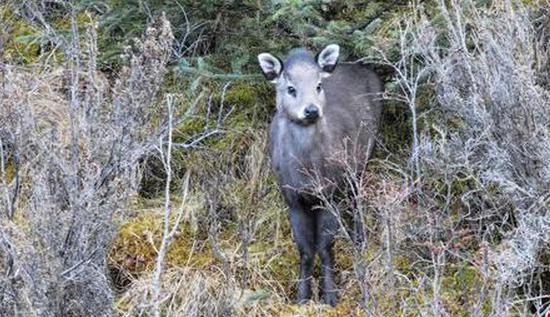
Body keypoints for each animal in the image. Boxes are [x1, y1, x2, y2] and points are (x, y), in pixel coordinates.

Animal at [260, 43, 384, 304]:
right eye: (291, 88)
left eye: (318, 85)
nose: (311, 110)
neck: (307, 172)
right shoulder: (292, 198)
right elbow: (306, 250)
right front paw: (302, 297)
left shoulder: (331, 193)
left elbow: (326, 247)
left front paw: (330, 297)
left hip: (361, 159)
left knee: (357, 200)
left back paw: (360, 240)